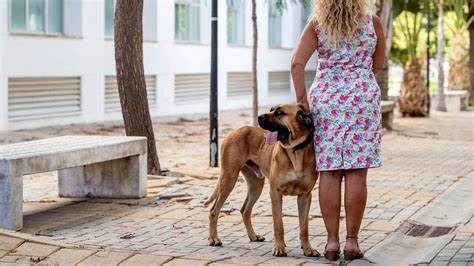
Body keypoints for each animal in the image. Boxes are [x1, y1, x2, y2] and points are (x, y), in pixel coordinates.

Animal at [203, 103, 318, 256]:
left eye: (279, 113)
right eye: (271, 109)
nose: (259, 117)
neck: (295, 151)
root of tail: (236, 130)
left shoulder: (305, 195)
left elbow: (304, 227)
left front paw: (308, 249)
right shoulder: (275, 193)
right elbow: (278, 224)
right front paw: (279, 248)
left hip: (256, 184)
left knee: (245, 210)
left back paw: (253, 236)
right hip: (228, 179)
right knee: (214, 211)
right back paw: (214, 239)